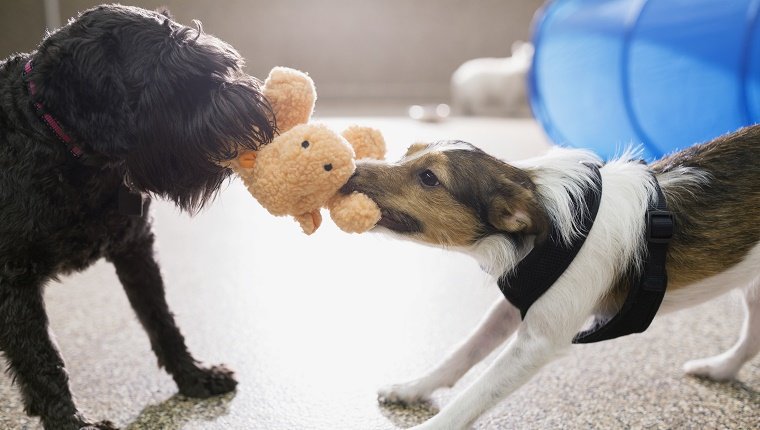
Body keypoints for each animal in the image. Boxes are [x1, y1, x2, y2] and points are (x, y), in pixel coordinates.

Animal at [0, 4, 274, 430]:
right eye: (175, 85)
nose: (255, 106)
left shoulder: (135, 248)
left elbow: (162, 319)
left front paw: (193, 376)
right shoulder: (14, 282)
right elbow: (42, 360)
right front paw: (72, 422)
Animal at [342, 126, 756, 428]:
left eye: (429, 178)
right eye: (407, 151)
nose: (348, 168)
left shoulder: (538, 343)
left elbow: (474, 396)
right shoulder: (515, 303)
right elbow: (463, 351)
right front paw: (414, 388)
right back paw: (718, 370)